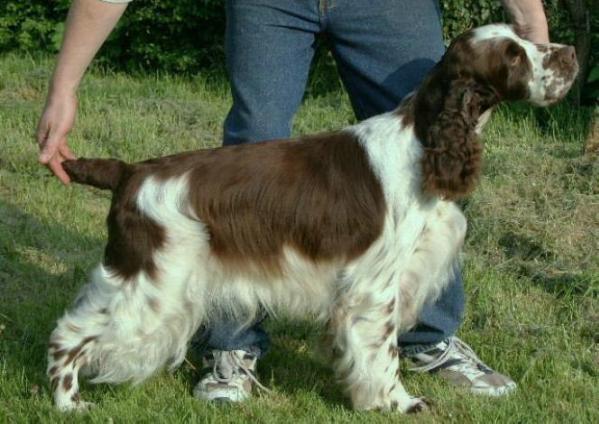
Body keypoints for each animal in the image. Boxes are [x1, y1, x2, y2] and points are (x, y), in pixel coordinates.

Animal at [49, 24, 580, 412]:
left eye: (524, 37)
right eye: (512, 56)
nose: (571, 53)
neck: (423, 141)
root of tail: (129, 172)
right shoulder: (375, 286)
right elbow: (382, 352)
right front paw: (398, 403)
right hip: (154, 282)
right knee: (68, 334)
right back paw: (69, 403)